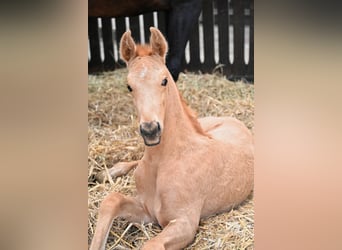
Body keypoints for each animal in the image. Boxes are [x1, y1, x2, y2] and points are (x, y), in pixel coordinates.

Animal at [91, 27, 254, 250]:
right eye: (129, 86)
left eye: (164, 80)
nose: (150, 131)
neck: (164, 161)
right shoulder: (147, 209)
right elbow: (111, 200)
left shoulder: (184, 223)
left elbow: (149, 245)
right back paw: (105, 173)